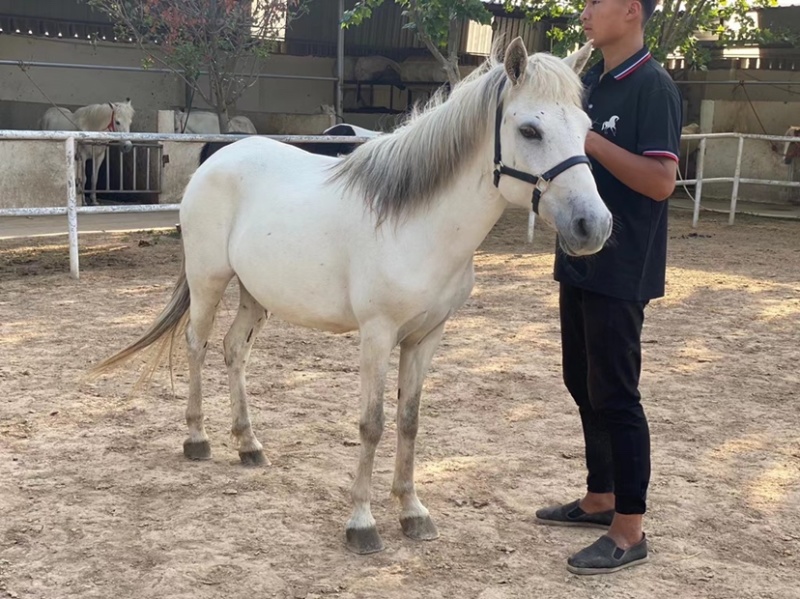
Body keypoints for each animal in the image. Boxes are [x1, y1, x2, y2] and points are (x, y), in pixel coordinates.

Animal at [91, 38, 612, 555]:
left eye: (587, 129)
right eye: (529, 130)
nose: (594, 225)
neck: (418, 225)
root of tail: (215, 160)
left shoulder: (427, 337)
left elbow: (409, 420)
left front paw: (412, 511)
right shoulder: (377, 335)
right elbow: (372, 423)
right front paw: (362, 522)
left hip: (256, 294)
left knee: (233, 350)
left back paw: (248, 445)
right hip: (208, 281)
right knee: (197, 347)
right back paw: (197, 439)